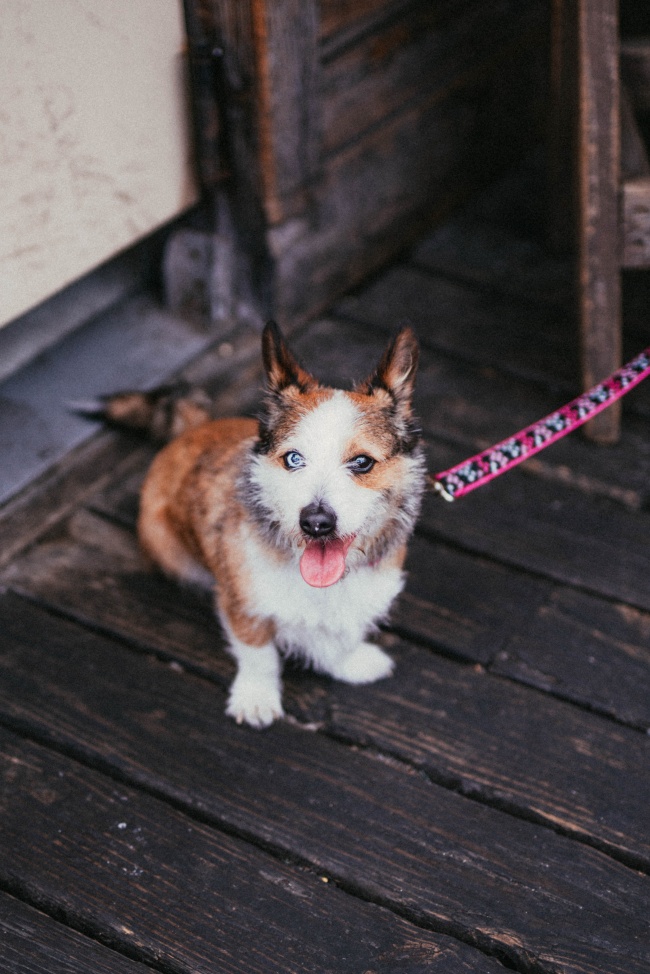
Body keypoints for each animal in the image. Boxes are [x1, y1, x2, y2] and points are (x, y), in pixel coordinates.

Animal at [88, 324, 428, 728]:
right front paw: (256, 697)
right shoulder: (243, 603)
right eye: (293, 459)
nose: (315, 523)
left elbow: (341, 634)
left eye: (362, 462)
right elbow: (258, 652)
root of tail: (190, 430)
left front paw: (350, 662)